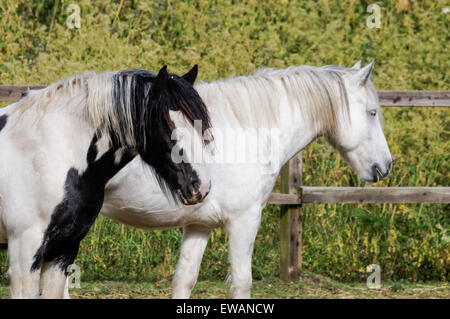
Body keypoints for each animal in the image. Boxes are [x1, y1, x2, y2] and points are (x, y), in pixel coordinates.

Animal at [73, 60, 390, 300]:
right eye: (372, 112)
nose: (386, 166)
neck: (246, 131)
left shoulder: (199, 224)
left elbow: (184, 279)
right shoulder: (243, 221)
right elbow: (241, 282)